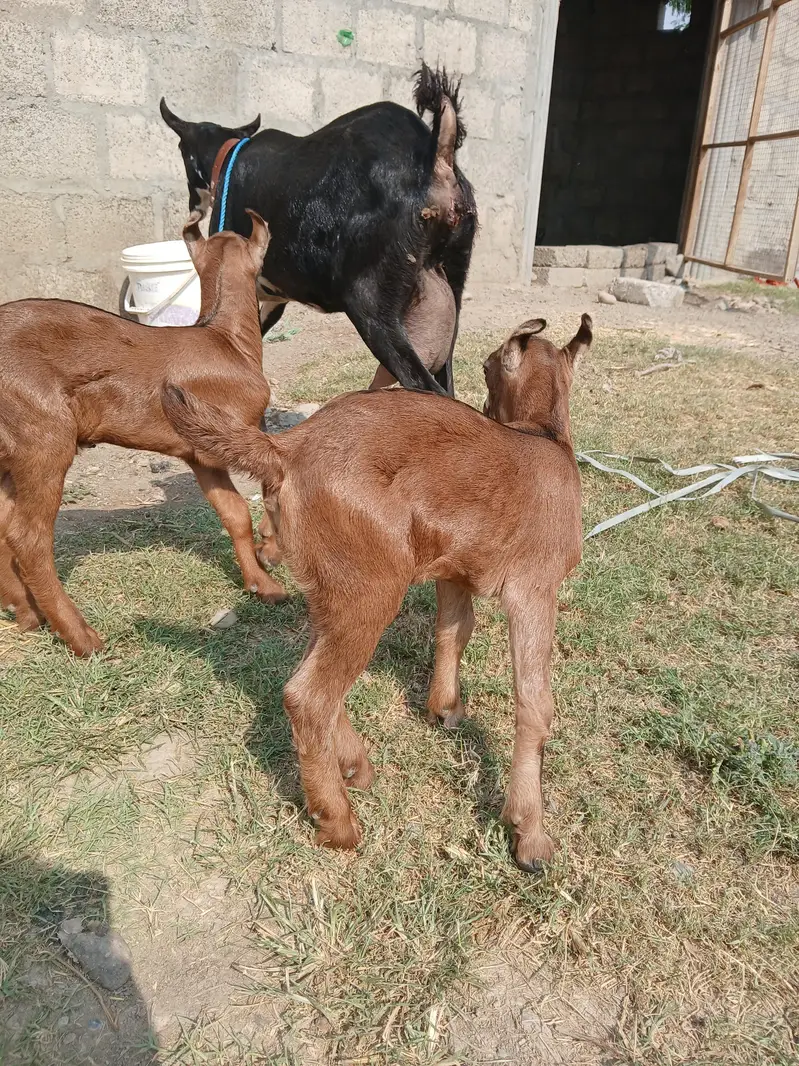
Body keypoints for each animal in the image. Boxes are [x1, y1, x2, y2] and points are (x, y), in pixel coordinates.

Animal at [0, 212, 285, 657]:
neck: (224, 338)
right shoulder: (240, 431)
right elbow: (272, 481)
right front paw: (270, 553)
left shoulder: (202, 453)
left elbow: (234, 512)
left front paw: (261, 584)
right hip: (42, 436)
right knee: (27, 536)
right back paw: (81, 636)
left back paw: (27, 613)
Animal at [160, 64, 476, 396]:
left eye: (181, 150)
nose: (193, 208)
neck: (229, 157)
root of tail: (436, 157)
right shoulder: (274, 297)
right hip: (448, 291)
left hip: (371, 302)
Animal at [161, 314, 592, 871]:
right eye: (486, 366)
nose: (485, 405)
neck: (543, 439)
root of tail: (287, 450)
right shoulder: (534, 588)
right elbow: (535, 703)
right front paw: (530, 832)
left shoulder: (454, 571)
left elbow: (454, 631)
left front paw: (444, 708)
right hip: (372, 585)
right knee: (308, 695)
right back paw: (337, 822)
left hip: (335, 584)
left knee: (311, 672)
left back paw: (353, 765)